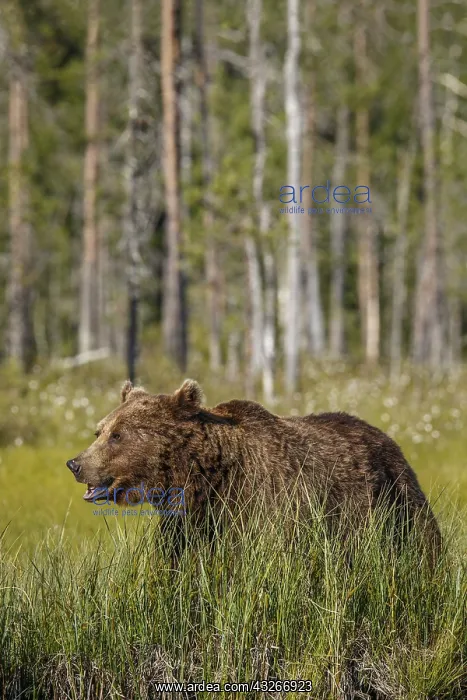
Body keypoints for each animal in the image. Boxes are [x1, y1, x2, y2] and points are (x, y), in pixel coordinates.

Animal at [66, 379, 441, 559]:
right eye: (100, 431)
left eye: (118, 435)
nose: (76, 463)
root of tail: (385, 436)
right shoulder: (190, 524)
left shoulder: (263, 503)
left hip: (395, 504)